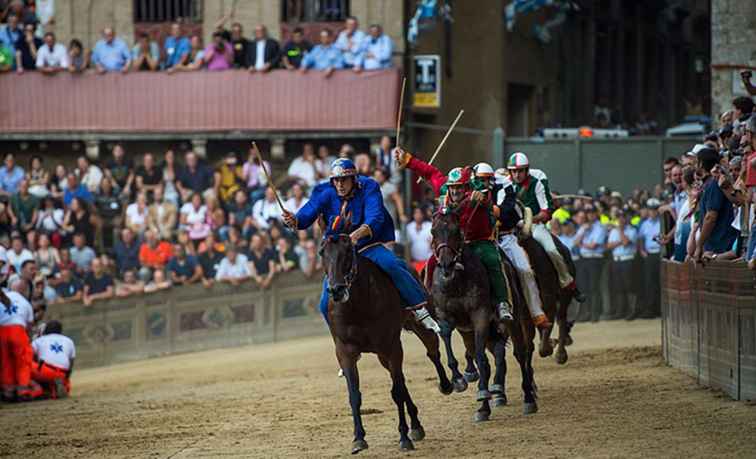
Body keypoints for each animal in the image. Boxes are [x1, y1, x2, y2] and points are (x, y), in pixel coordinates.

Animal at [320, 232, 452, 454]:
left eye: (347, 252)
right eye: (322, 253)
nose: (336, 289)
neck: (358, 305)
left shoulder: (391, 346)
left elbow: (396, 392)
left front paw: (403, 438)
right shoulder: (345, 351)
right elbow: (354, 395)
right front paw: (358, 438)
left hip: (417, 327)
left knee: (432, 352)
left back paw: (449, 384)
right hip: (382, 355)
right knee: (400, 378)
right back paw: (416, 425)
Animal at [432, 208, 536, 420]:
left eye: (457, 231)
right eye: (433, 232)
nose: (446, 265)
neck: (457, 281)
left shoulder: (480, 316)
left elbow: (482, 357)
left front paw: (482, 391)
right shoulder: (447, 316)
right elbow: (446, 335)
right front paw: (458, 380)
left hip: (514, 321)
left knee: (520, 353)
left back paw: (528, 398)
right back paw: (486, 405)